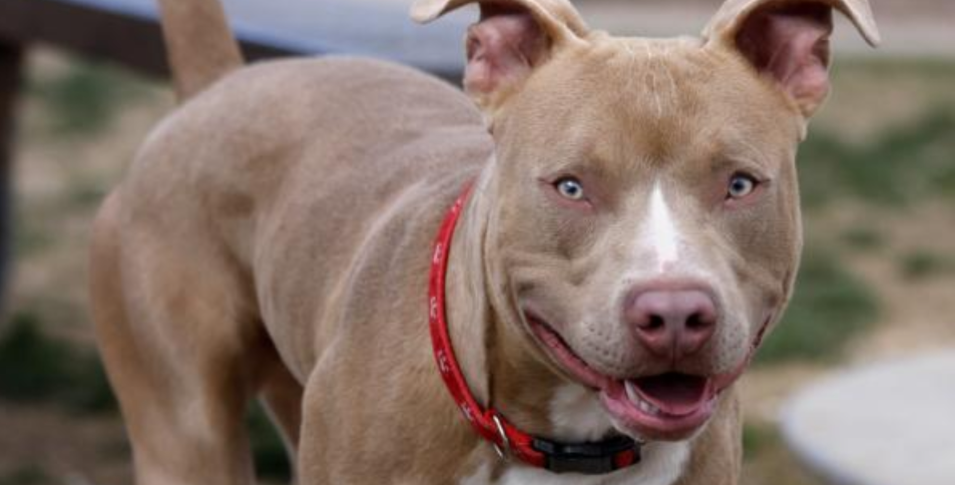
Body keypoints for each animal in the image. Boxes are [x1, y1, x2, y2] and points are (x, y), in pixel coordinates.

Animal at [89, 0, 879, 483]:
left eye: (740, 184)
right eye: (570, 186)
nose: (677, 312)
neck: (570, 448)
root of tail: (218, 88)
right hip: (183, 432)